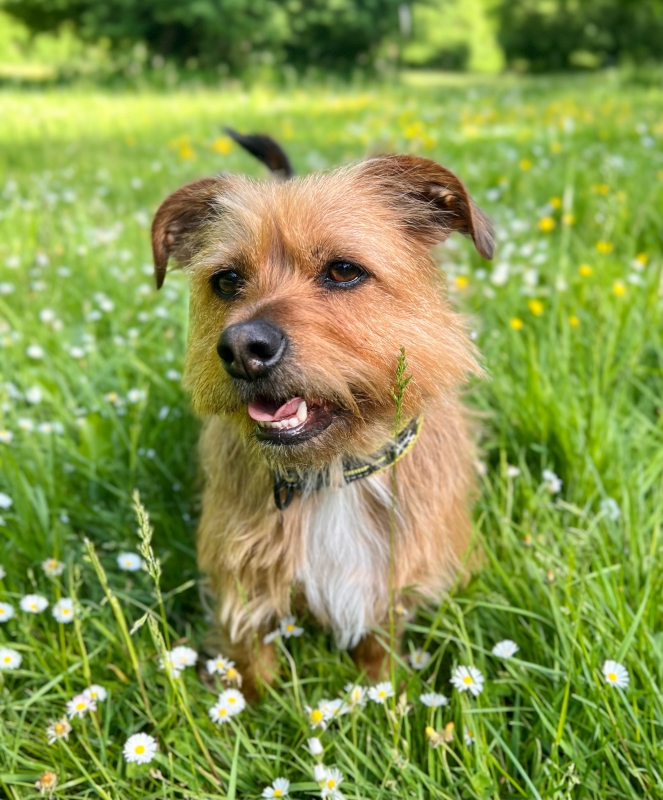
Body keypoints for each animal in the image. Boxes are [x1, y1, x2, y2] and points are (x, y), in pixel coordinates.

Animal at [151, 131, 493, 696]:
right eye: (226, 281)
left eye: (344, 270)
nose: (241, 348)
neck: (333, 474)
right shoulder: (243, 582)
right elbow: (251, 663)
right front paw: (249, 708)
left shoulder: (393, 580)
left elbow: (379, 651)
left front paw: (384, 696)